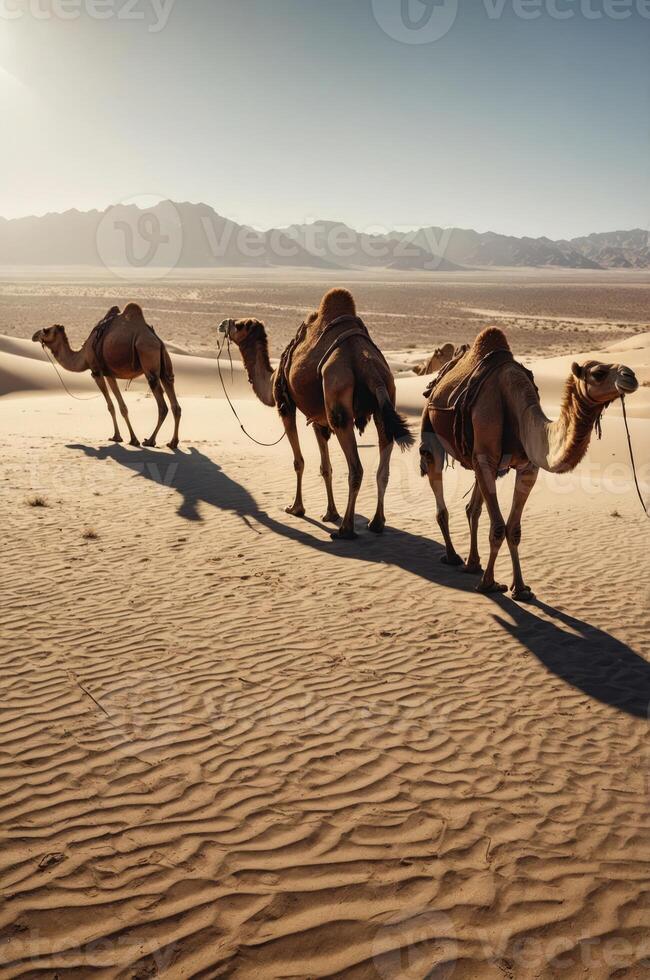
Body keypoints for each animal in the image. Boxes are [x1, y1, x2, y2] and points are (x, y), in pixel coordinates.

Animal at [32, 304, 181, 450]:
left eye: (46, 330)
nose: (34, 335)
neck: (83, 355)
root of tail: (158, 341)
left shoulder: (97, 372)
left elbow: (110, 406)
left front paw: (124, 438)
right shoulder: (110, 374)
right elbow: (122, 407)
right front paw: (126, 438)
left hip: (148, 357)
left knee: (162, 406)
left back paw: (150, 441)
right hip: (165, 366)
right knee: (174, 402)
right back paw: (173, 442)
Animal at [218, 288, 410, 540]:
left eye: (239, 325)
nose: (222, 323)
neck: (272, 377)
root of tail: (371, 369)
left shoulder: (286, 405)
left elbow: (298, 461)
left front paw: (296, 508)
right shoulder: (319, 419)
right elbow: (325, 468)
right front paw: (330, 513)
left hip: (339, 405)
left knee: (356, 469)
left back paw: (345, 529)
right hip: (385, 402)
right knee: (383, 469)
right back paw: (376, 523)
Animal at [418, 328, 636, 596]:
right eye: (598, 373)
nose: (630, 376)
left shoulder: (527, 468)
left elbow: (513, 529)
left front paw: (520, 588)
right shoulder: (486, 459)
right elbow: (498, 527)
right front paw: (488, 584)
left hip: (478, 460)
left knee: (473, 509)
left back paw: (473, 563)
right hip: (432, 431)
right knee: (438, 485)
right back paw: (452, 556)